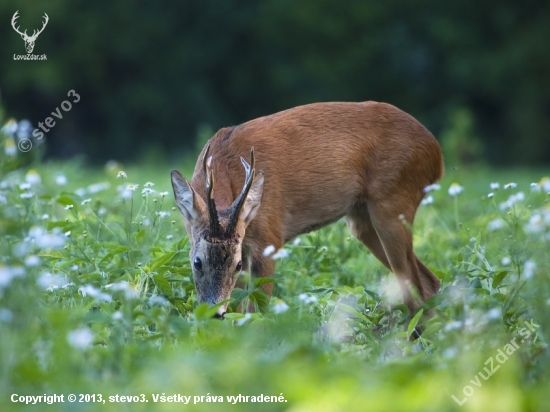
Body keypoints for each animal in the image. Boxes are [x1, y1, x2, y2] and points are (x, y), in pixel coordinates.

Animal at [172, 101, 444, 326]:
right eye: (197, 262)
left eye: (237, 264)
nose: (214, 314)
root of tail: (436, 154)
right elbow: (238, 308)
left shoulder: (269, 240)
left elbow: (257, 311)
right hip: (363, 219)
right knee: (430, 283)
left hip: (393, 204)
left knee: (416, 291)